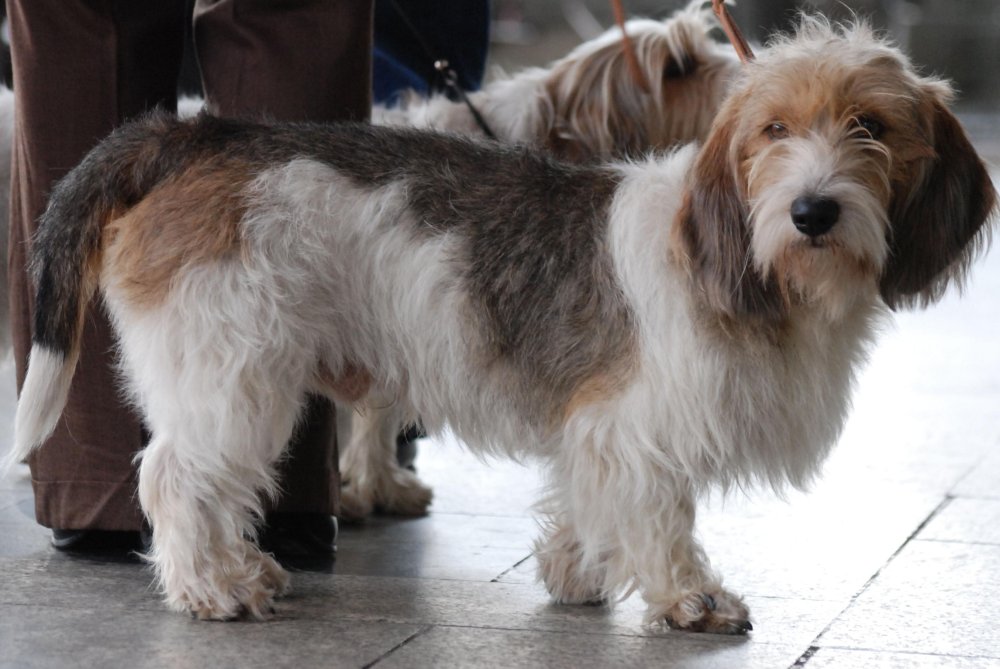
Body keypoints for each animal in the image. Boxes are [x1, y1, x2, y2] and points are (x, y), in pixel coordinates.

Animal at [3, 17, 996, 632]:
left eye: (871, 128)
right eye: (771, 132)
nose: (813, 212)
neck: (753, 269)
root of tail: (192, 134)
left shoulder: (595, 432)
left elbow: (588, 502)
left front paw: (576, 572)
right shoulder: (635, 426)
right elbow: (662, 513)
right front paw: (688, 597)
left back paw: (246, 567)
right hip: (231, 374)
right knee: (171, 477)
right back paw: (210, 587)